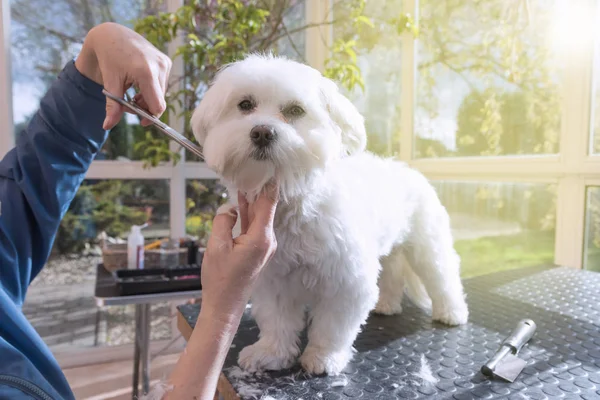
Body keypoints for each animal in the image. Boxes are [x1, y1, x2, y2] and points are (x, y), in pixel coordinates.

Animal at [192, 53, 468, 376]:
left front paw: (324, 358)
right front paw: (271, 353)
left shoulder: (346, 281)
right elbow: (276, 321)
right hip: (389, 252)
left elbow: (333, 326)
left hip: (427, 245)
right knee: (391, 274)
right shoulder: (272, 278)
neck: (294, 203)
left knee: (442, 275)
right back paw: (387, 304)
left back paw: (452, 311)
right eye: (245, 105)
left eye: (295, 110)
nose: (261, 132)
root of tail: (410, 171)